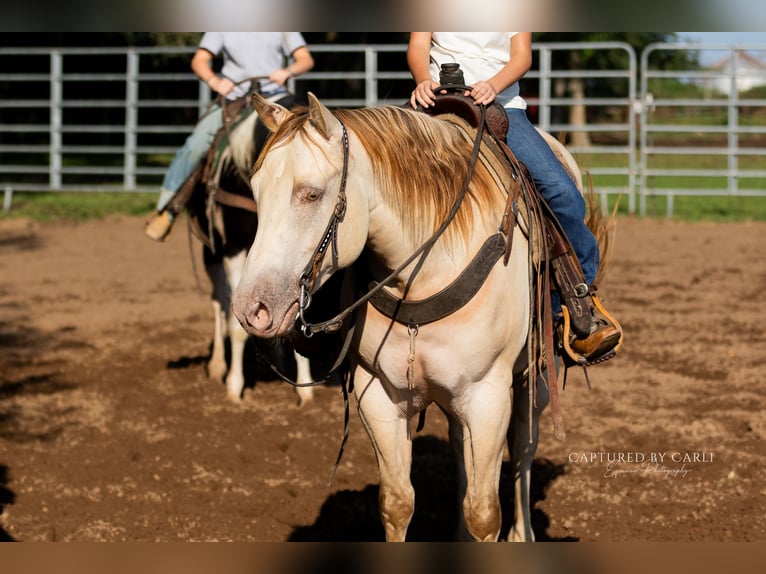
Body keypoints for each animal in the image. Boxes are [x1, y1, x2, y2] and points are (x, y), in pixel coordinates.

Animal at [185, 90, 314, 405]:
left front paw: (305, 391)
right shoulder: (235, 249)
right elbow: (235, 322)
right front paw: (234, 386)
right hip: (212, 252)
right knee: (219, 301)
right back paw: (217, 365)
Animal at [232, 92, 606, 541]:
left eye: (312, 194)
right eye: (256, 191)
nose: (252, 308)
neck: (428, 269)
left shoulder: (488, 395)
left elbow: (485, 513)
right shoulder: (378, 393)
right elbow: (398, 503)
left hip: (537, 375)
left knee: (523, 450)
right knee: (463, 450)